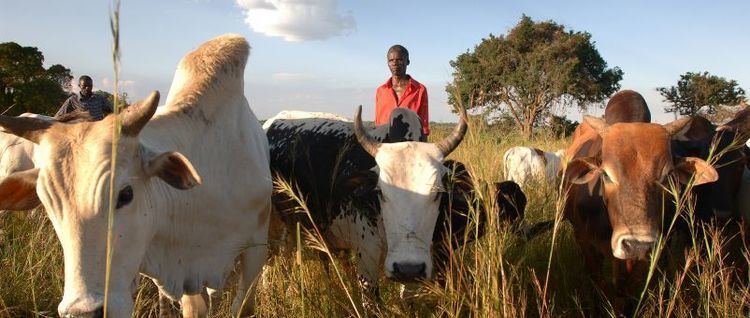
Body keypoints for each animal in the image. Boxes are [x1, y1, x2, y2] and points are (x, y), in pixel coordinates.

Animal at [0, 33, 272, 316]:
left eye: (126, 194)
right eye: (47, 201)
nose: (84, 311)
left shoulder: (256, 249)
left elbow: (243, 305)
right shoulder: (186, 271)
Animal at [564, 115, 716, 314]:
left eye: (667, 175)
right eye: (605, 174)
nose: (637, 244)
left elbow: (626, 292)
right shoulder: (586, 243)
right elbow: (598, 287)